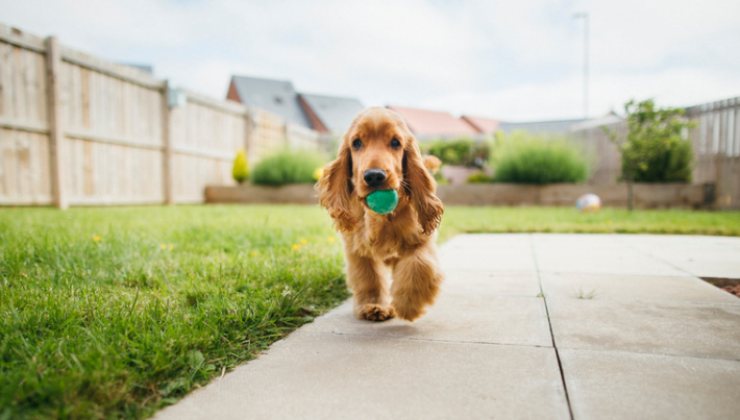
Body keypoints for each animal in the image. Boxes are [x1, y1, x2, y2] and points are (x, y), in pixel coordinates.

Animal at [316, 108, 442, 322]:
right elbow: (369, 277)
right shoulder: (357, 248)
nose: (374, 176)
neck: (381, 217)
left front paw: (409, 304)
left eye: (396, 142)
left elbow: (419, 264)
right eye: (356, 143)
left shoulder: (421, 239)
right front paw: (374, 305)